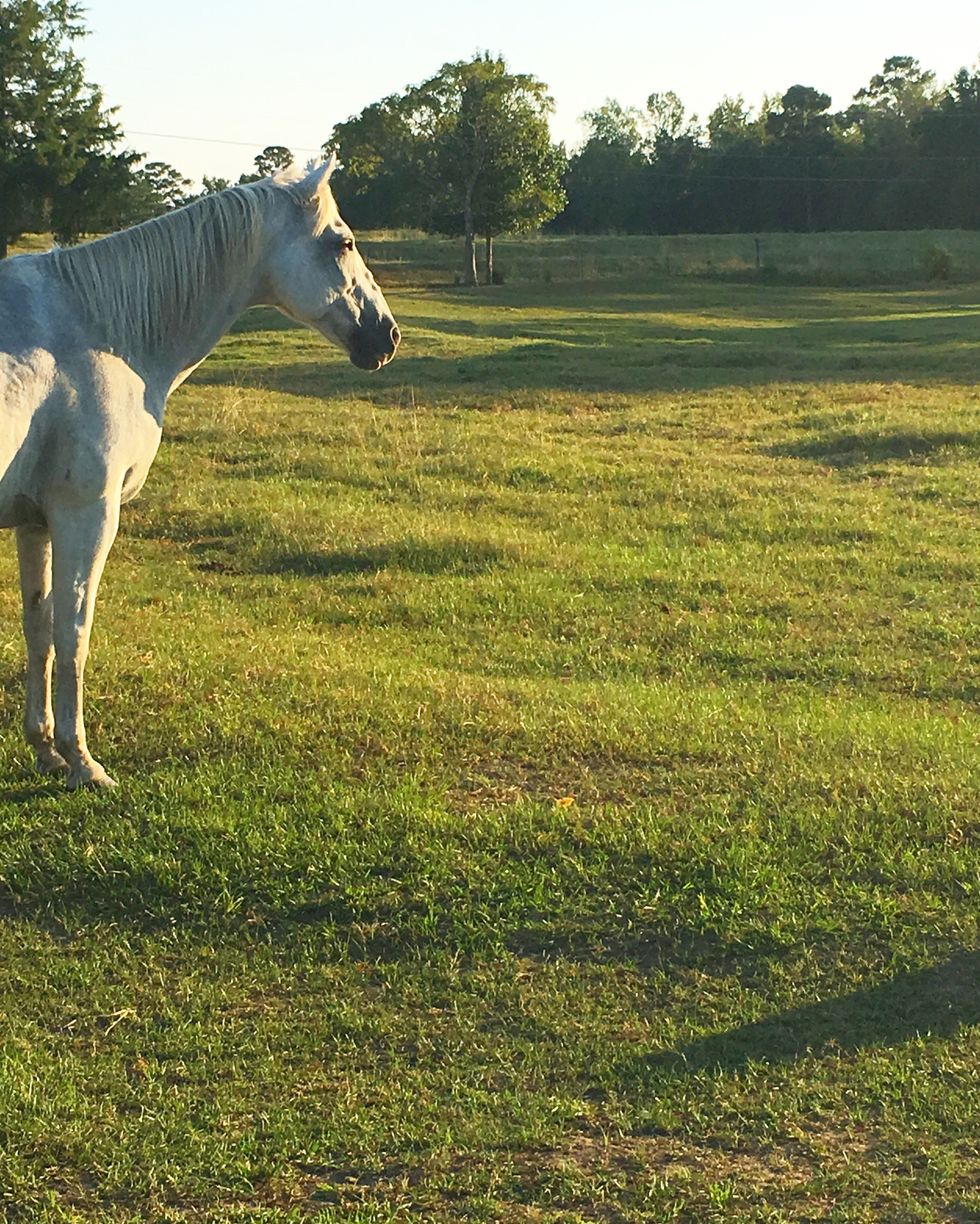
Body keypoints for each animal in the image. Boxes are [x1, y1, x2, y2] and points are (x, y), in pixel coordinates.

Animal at [0, 158, 400, 789]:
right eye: (344, 243)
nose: (387, 335)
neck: (96, 330)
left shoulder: (34, 521)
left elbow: (39, 631)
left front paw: (45, 750)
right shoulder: (85, 513)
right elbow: (74, 633)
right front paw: (82, 762)